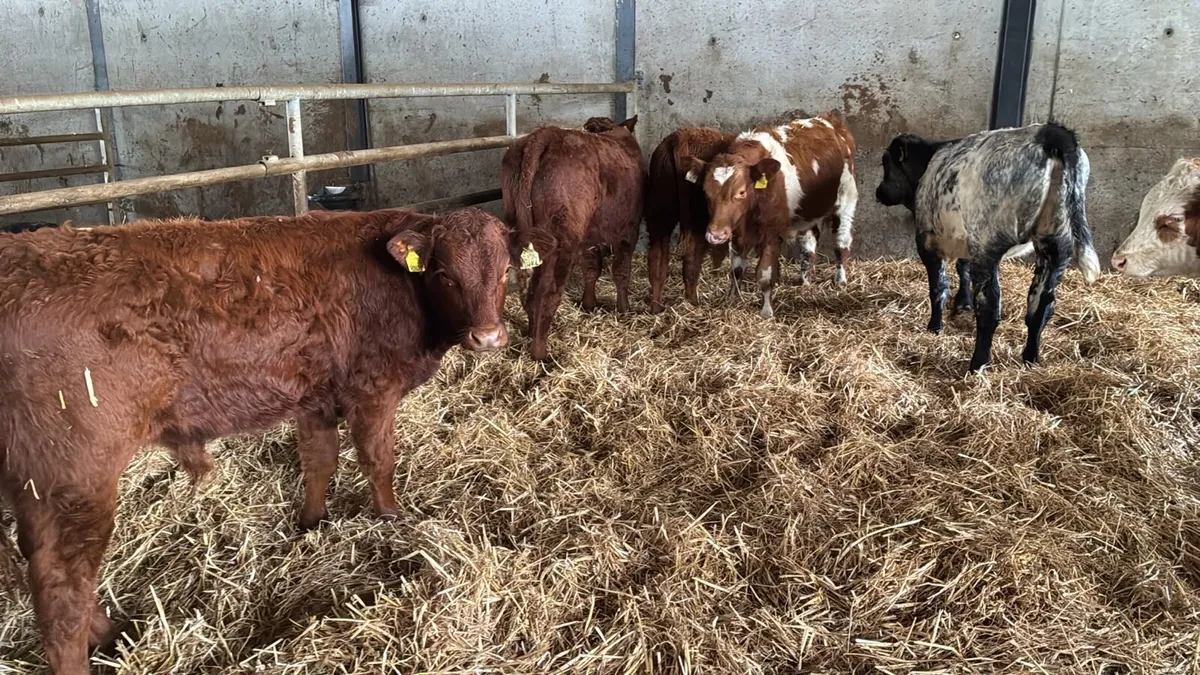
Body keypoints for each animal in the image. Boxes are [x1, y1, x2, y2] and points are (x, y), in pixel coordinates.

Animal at [0, 207, 511, 674]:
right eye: (444, 275)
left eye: (507, 271)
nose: (488, 336)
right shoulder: (374, 388)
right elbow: (377, 459)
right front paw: (392, 519)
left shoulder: (314, 394)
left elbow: (319, 460)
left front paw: (311, 523)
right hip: (74, 475)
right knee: (62, 589)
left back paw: (112, 634)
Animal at [500, 116, 645, 360]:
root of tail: (546, 134)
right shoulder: (630, 229)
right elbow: (621, 271)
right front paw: (624, 308)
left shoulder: (589, 240)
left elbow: (592, 269)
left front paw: (588, 305)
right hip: (562, 241)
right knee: (546, 292)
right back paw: (541, 352)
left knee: (527, 289)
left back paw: (531, 333)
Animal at [645, 127, 736, 312]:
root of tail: (680, 137)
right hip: (699, 220)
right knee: (691, 259)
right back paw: (693, 303)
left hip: (660, 210)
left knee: (657, 257)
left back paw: (656, 307)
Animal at [682, 112, 858, 318]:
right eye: (705, 191)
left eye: (741, 192)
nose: (715, 234)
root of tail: (830, 119)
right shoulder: (737, 233)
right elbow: (736, 269)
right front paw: (733, 299)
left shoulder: (772, 233)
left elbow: (765, 274)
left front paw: (766, 311)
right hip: (806, 214)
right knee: (809, 244)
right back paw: (805, 282)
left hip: (846, 199)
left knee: (842, 242)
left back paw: (841, 281)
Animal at [875, 123, 1101, 372]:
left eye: (886, 164)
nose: (879, 192)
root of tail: (1050, 132)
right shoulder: (966, 241)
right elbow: (962, 269)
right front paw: (962, 305)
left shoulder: (927, 240)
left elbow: (938, 286)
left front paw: (934, 327)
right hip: (1056, 241)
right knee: (1041, 304)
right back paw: (1030, 358)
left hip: (988, 242)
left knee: (990, 306)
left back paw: (978, 363)